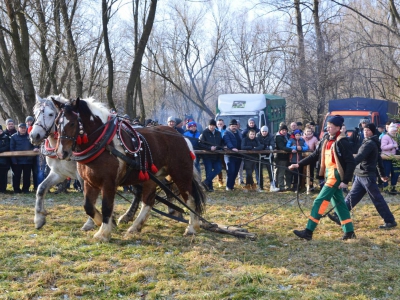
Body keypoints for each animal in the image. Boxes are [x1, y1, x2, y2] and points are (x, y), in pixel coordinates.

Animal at [53, 98, 206, 241]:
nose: (62, 153)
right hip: (152, 178)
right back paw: (135, 227)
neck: (103, 143)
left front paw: (103, 233)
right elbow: (88, 207)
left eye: (72, 123)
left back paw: (192, 227)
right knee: (148, 202)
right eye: (56, 123)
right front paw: (108, 224)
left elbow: (106, 206)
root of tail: (182, 138)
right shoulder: (89, 182)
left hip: (180, 174)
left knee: (190, 199)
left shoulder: (108, 183)